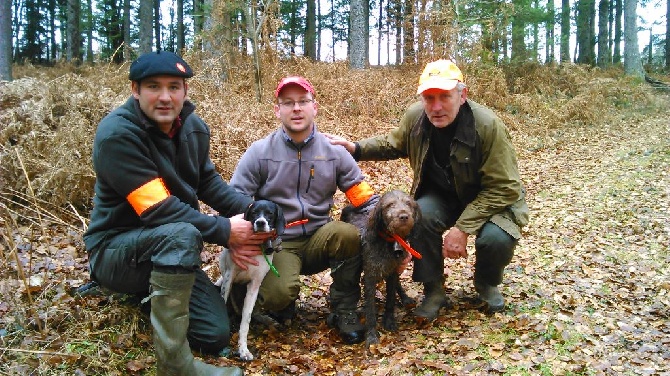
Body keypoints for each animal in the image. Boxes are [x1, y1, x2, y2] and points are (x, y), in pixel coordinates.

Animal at [217, 200, 284, 362]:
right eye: (254, 212)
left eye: (270, 213)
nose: (260, 222)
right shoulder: (228, 278)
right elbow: (222, 303)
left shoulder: (254, 286)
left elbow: (245, 322)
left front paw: (243, 350)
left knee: (253, 313)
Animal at [344, 189, 422, 348]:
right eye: (390, 205)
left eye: (408, 203)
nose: (404, 216)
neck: (389, 241)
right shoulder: (370, 276)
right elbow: (370, 310)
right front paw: (372, 335)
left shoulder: (393, 272)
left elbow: (391, 299)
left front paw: (389, 320)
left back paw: (405, 297)